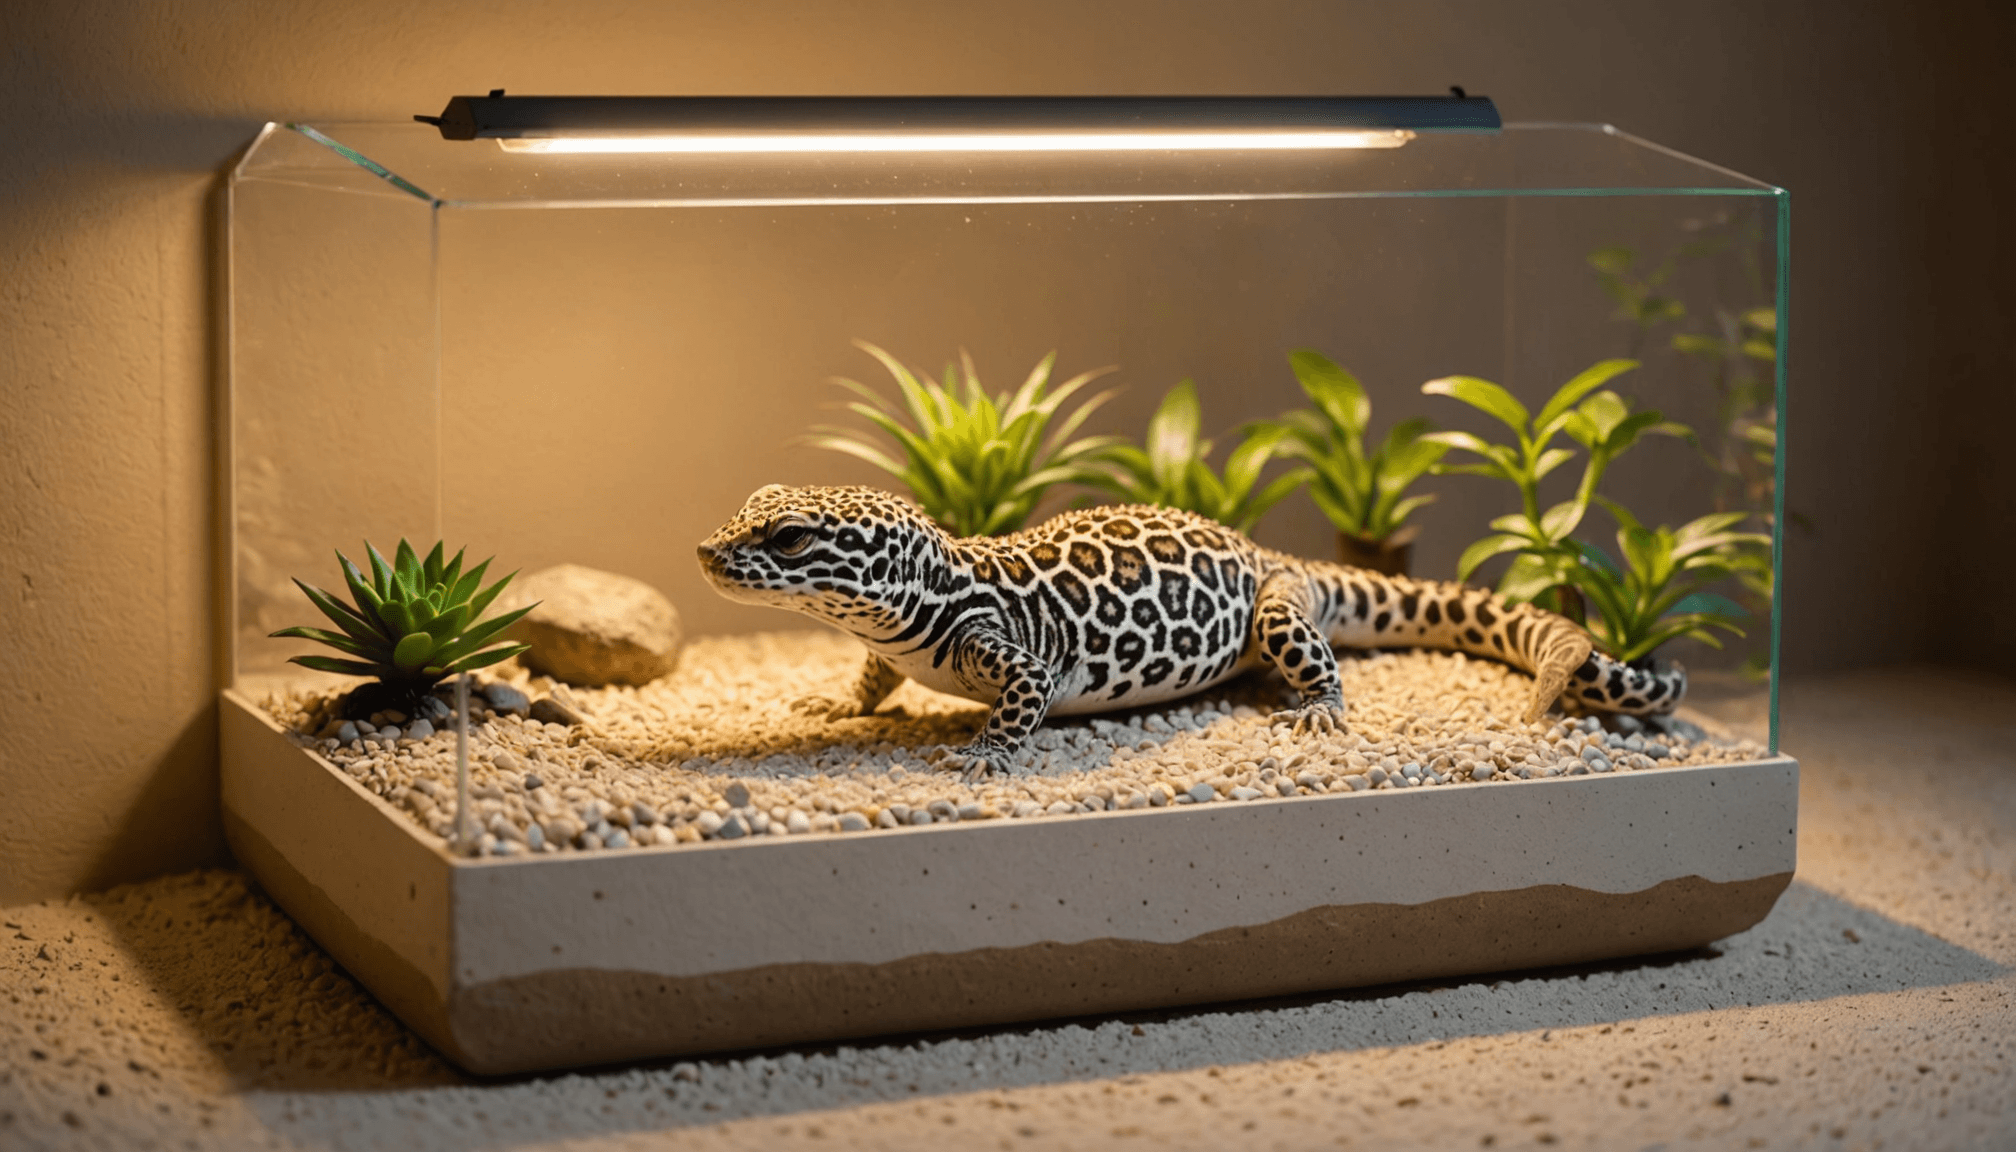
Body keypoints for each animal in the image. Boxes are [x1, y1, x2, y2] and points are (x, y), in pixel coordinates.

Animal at [697, 484, 1685, 776]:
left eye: (788, 538)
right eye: (750, 503)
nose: (705, 549)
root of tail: (1266, 550)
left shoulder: (1021, 661)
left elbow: (1022, 702)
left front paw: (984, 754)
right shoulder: (889, 646)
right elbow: (872, 681)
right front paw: (839, 701)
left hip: (1276, 604)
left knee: (1304, 644)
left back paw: (1319, 702)